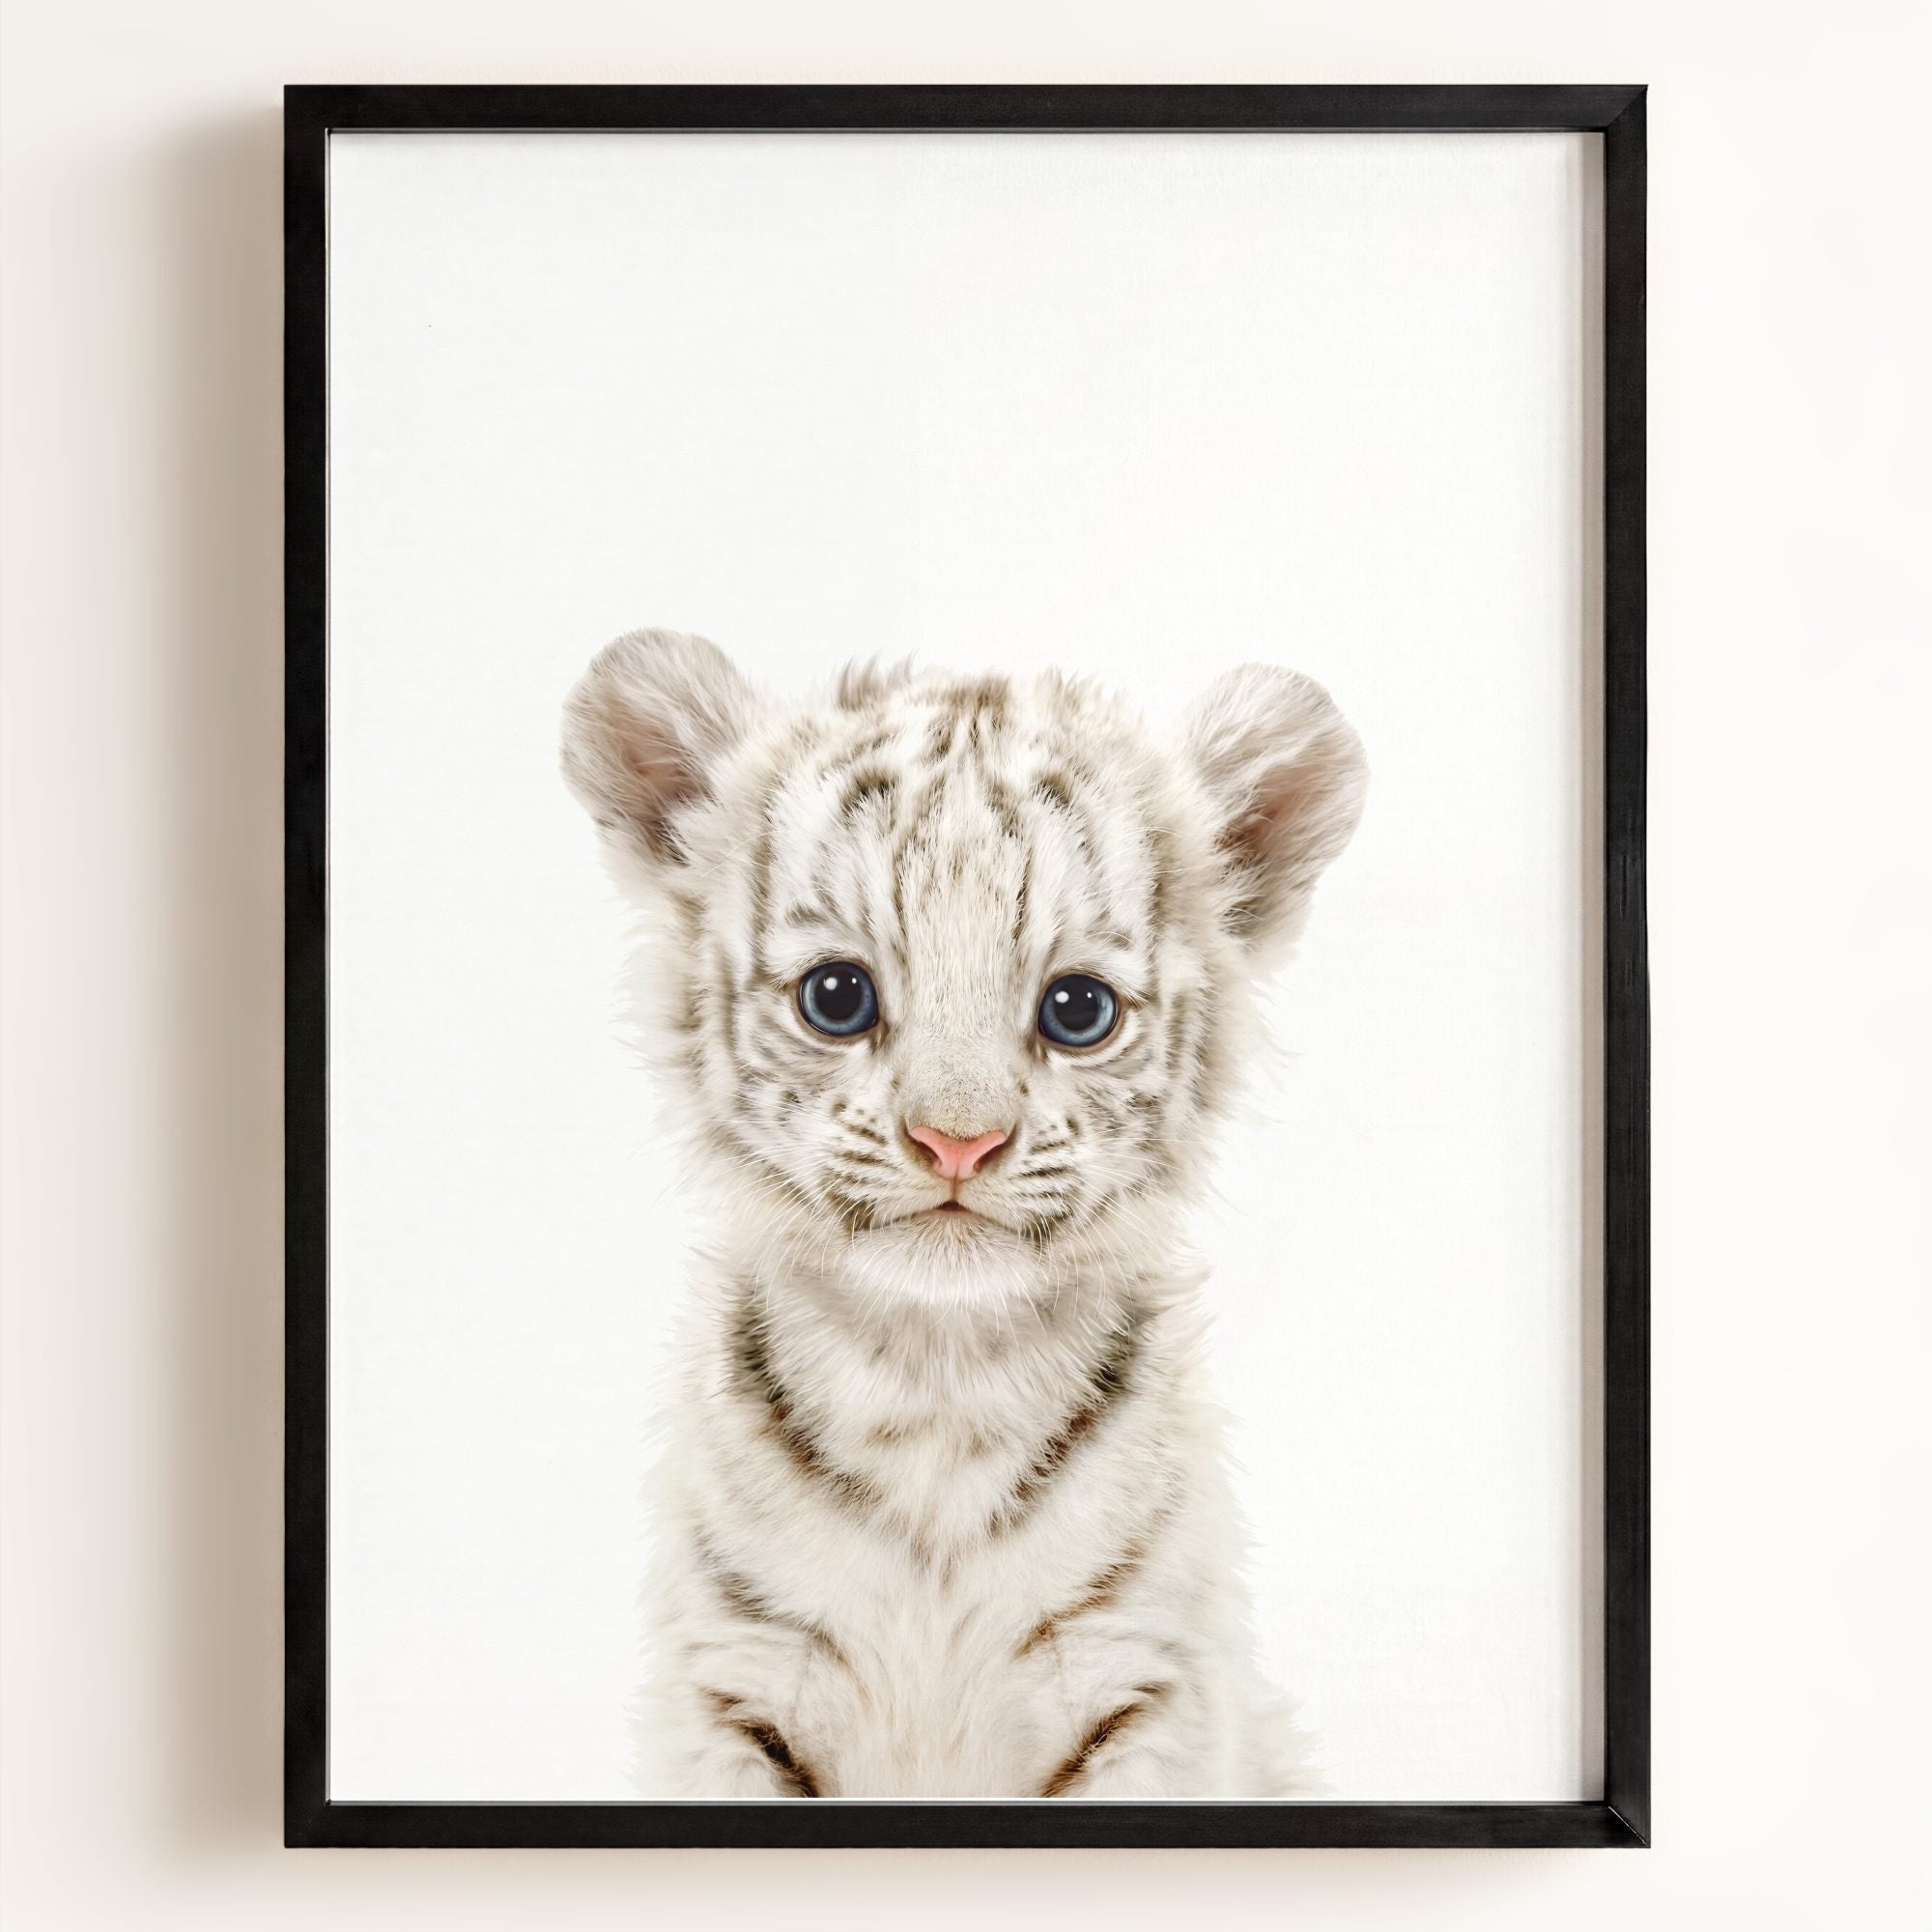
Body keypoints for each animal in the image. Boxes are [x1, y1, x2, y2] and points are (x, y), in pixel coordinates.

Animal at [561, 627, 1366, 1798]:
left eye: (1077, 1010)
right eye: (836, 996)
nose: (956, 1141)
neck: (936, 1383)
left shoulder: (1142, 1684)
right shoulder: (734, 1683)